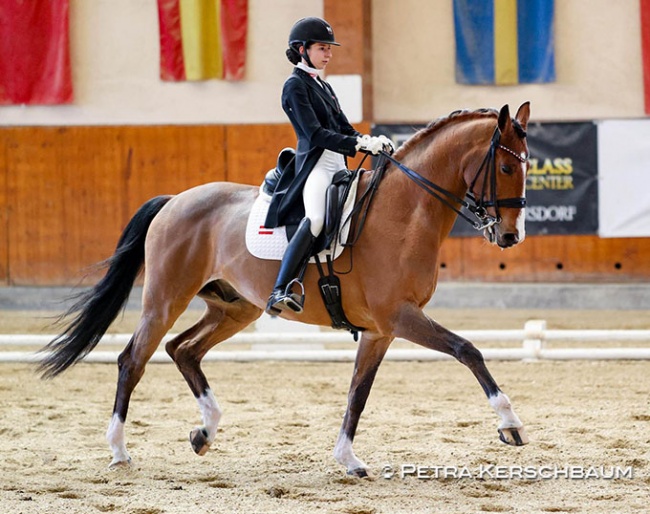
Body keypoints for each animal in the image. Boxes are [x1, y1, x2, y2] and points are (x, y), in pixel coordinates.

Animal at [38, 101, 528, 476]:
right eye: (506, 166)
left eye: (527, 166)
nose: (510, 237)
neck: (404, 213)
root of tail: (174, 200)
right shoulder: (399, 316)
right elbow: (468, 350)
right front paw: (510, 423)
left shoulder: (380, 330)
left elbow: (358, 392)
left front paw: (347, 458)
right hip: (164, 300)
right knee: (133, 360)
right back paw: (119, 450)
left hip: (235, 308)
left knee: (183, 349)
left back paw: (205, 431)